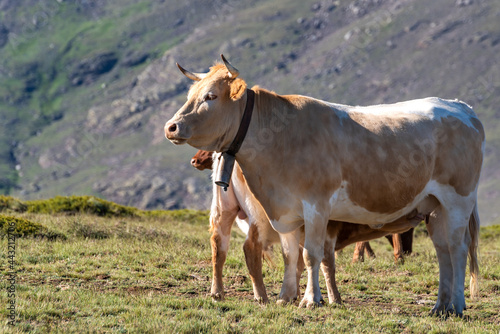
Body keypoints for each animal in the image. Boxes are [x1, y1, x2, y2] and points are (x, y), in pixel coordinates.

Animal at [191, 150, 422, 304]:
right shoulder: (325, 229)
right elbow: (325, 263)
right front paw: (333, 298)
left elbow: (298, 262)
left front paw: (295, 295)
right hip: (260, 218)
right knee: (250, 249)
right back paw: (261, 295)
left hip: (225, 210)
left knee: (218, 247)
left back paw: (217, 292)